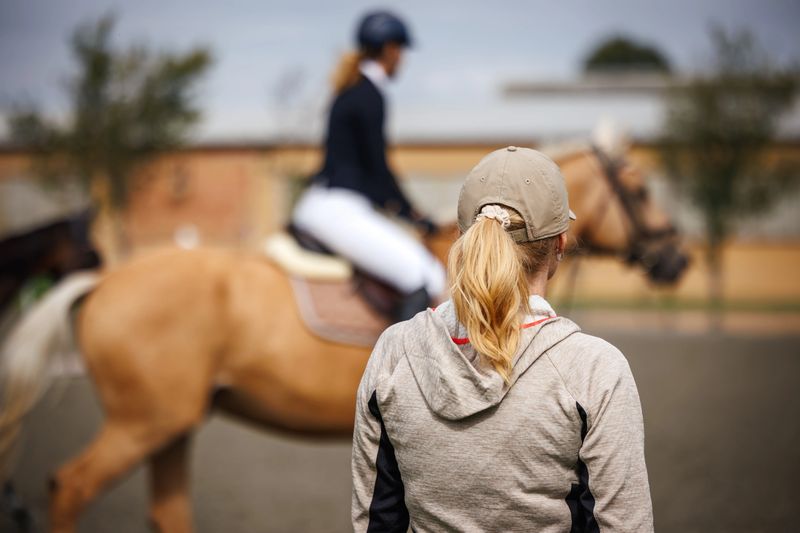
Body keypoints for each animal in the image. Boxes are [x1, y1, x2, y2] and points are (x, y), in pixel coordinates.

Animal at [0, 144, 687, 533]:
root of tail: (103, 280)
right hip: (143, 421)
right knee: (71, 487)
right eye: (642, 189)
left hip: (171, 423)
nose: (677, 260)